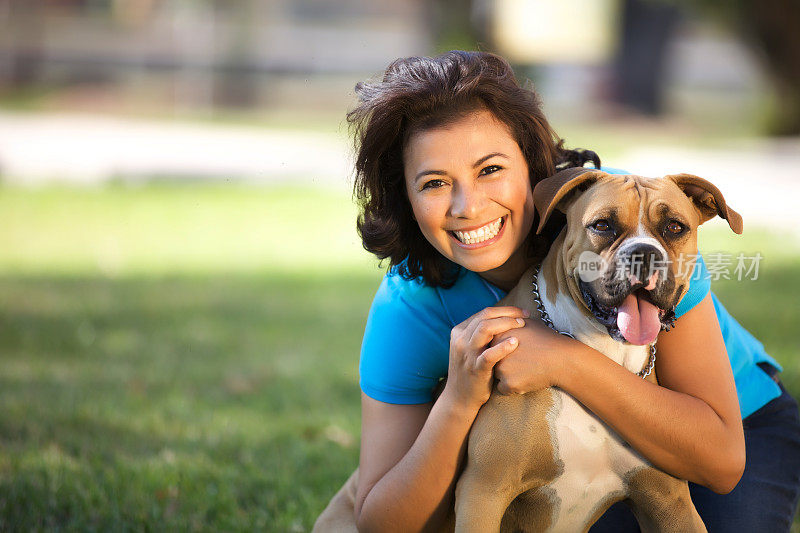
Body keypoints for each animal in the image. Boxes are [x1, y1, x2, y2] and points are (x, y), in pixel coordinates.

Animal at [450, 167, 744, 532]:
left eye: (674, 227)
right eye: (602, 225)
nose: (644, 253)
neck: (603, 357)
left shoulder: (670, 502)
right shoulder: (484, 489)